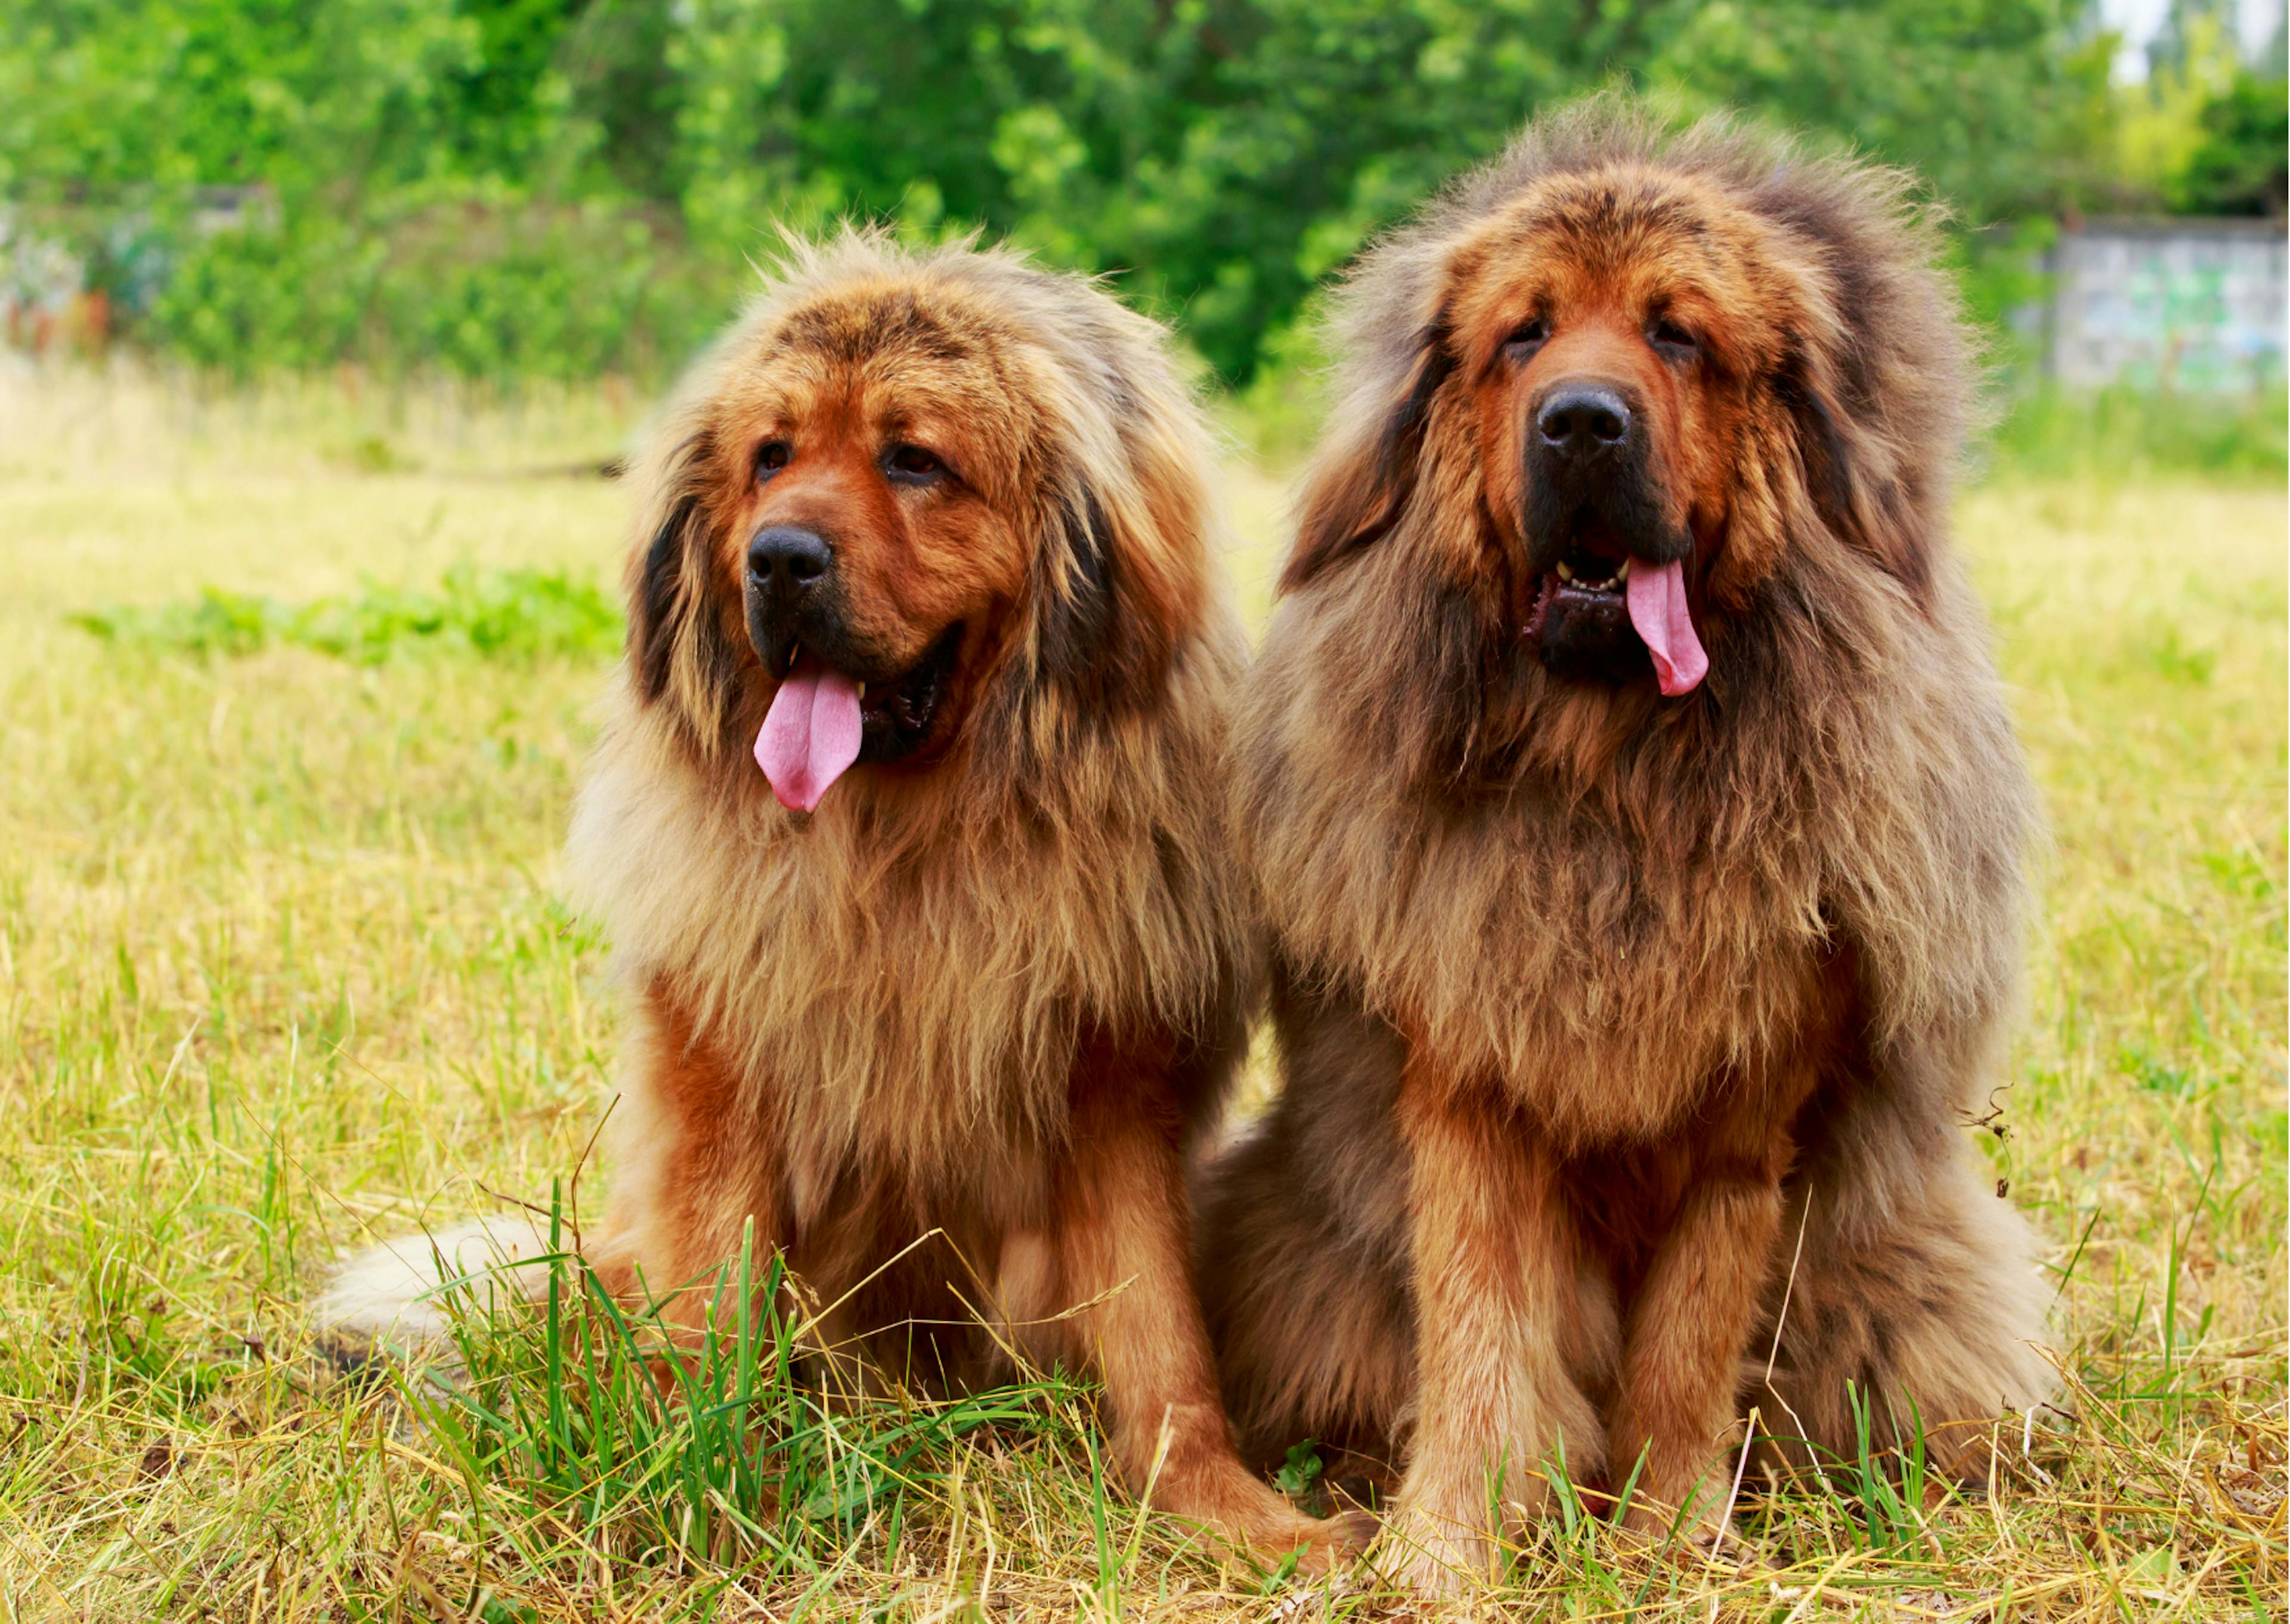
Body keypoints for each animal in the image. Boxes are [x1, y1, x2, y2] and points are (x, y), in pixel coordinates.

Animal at [327, 234, 1356, 1566]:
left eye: (913, 459)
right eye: (771, 457)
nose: (777, 557)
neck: (909, 846)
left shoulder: (1112, 1084)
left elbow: (1157, 1330)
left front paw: (1228, 1508)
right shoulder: (720, 1063)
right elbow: (715, 1307)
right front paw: (712, 1486)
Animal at [1200, 107, 2061, 1594]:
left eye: (1679, 336)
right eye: (1524, 337)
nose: (1583, 425)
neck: (1612, 793)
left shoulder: (1750, 1117)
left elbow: (1690, 1345)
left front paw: (1666, 1540)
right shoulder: (1469, 1082)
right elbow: (1482, 1331)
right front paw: (1444, 1550)